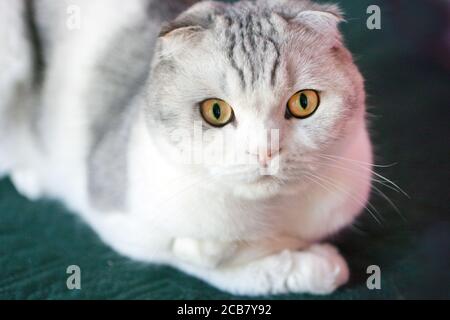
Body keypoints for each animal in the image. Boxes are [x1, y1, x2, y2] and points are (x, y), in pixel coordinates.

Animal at [0, 0, 372, 296]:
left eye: (304, 102)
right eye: (216, 111)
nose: (265, 151)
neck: (270, 215)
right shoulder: (118, 218)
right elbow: (205, 261)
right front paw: (313, 265)